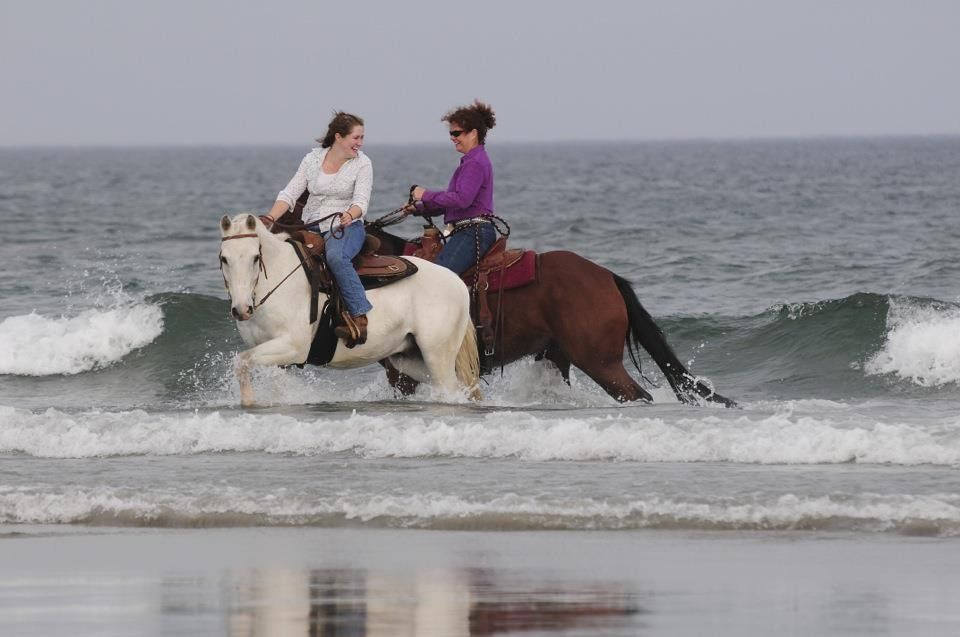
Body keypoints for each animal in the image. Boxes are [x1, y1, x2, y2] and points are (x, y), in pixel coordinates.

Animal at [218, 211, 480, 404]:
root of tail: (457, 282)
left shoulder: (293, 346)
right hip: (409, 359)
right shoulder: (274, 355)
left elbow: (241, 361)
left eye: (255, 257)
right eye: (224, 258)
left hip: (437, 355)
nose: (241, 309)